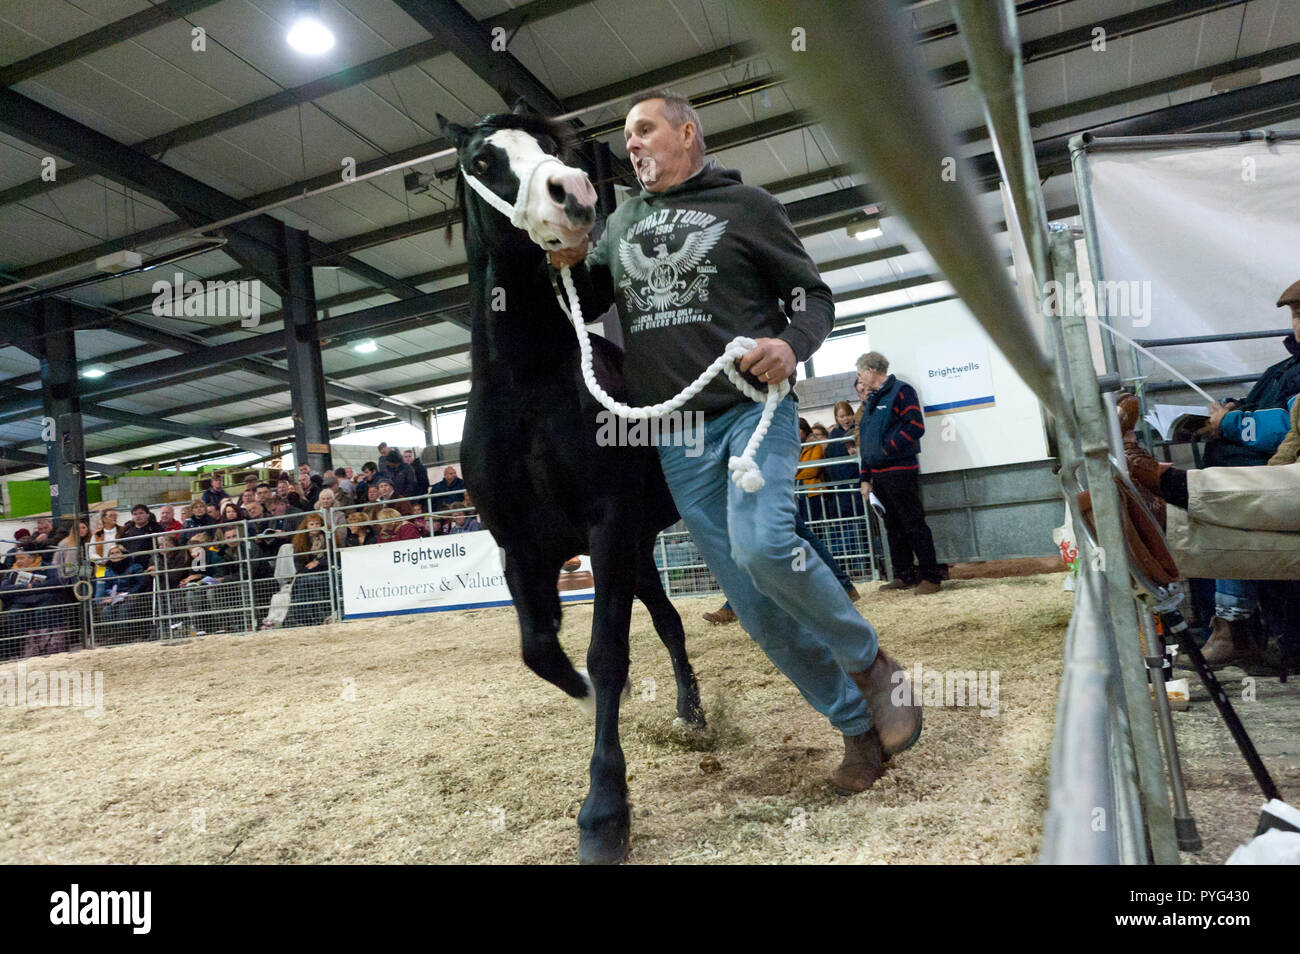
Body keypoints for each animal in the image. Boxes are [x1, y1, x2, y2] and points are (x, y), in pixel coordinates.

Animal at [436, 110, 707, 868]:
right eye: (483, 158)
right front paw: (588, 699)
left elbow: (606, 654)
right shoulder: (521, 550)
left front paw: (605, 813)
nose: (576, 194)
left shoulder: (606, 528)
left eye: (551, 147)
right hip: (641, 550)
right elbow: (541, 650)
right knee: (669, 622)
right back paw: (689, 711)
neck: (525, 387)